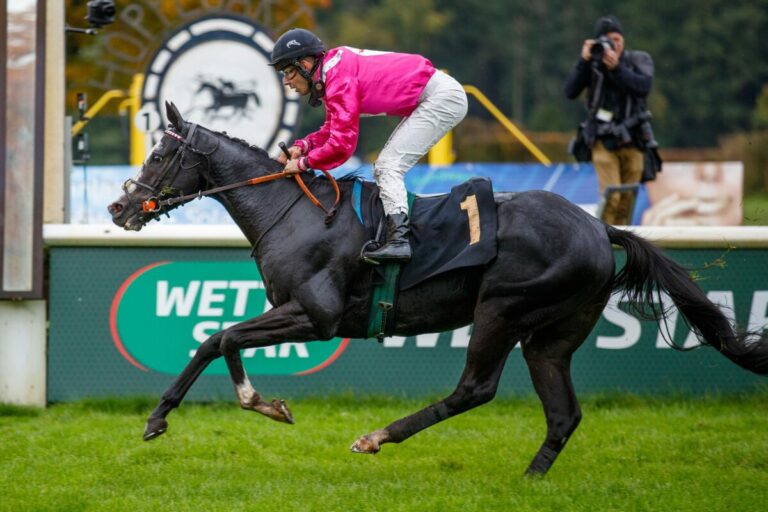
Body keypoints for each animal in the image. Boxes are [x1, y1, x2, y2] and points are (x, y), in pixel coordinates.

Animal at [108, 102, 768, 476]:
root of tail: (597, 225)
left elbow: (219, 338)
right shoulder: (295, 311)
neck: (291, 210)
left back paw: (377, 437)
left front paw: (208, 411)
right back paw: (530, 480)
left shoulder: (317, 315)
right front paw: (215, 411)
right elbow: (219, 341)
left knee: (475, 389)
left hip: (503, 309)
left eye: (161, 154)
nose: (118, 207)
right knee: (563, 413)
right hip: (553, 334)